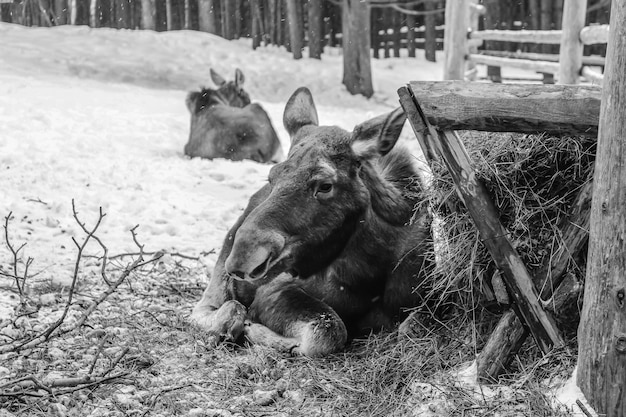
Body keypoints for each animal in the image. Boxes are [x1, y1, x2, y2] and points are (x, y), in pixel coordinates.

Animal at [191, 87, 434, 354]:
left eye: (325, 185)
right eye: (272, 176)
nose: (242, 256)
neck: (370, 273)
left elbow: (413, 327)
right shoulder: (274, 289)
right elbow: (329, 330)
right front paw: (261, 333)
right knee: (214, 308)